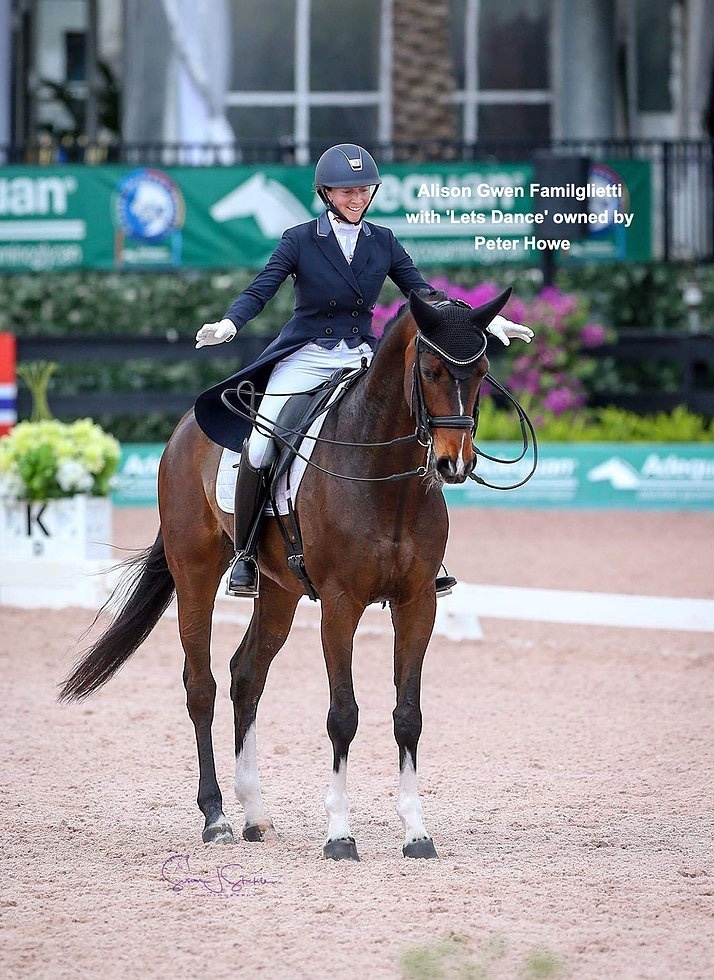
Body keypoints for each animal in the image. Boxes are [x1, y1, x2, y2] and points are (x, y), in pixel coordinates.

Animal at [60, 286, 512, 861]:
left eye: (481, 372)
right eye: (430, 371)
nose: (455, 465)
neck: (386, 477)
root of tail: (185, 429)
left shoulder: (417, 603)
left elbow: (408, 715)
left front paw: (416, 832)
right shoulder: (340, 604)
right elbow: (343, 715)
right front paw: (339, 834)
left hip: (279, 590)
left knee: (246, 676)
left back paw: (254, 814)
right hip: (195, 573)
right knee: (201, 685)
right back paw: (216, 818)